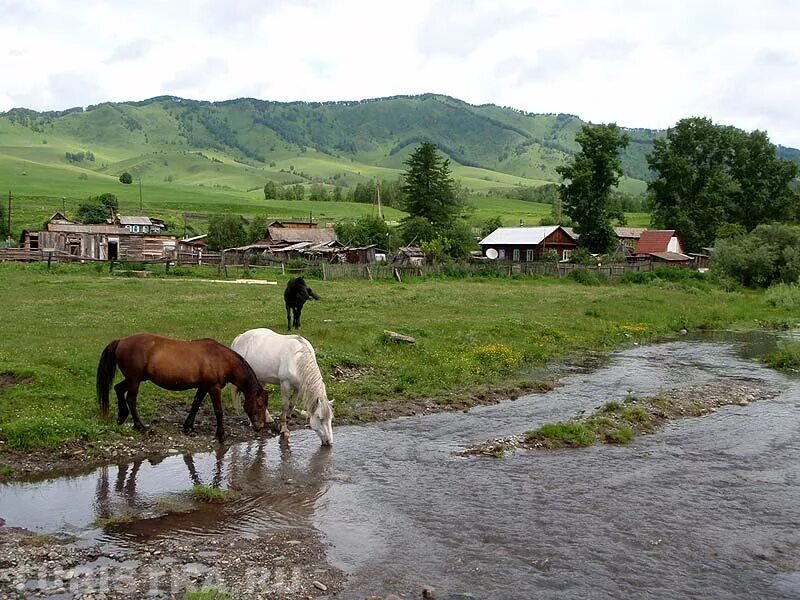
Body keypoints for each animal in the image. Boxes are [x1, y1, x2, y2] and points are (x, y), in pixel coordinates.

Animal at [95, 336, 272, 442]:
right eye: (259, 405)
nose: (260, 426)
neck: (220, 359)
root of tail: (121, 341)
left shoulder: (203, 387)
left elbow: (195, 405)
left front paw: (188, 427)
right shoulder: (213, 388)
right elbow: (218, 411)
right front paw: (220, 434)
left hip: (135, 379)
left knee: (118, 389)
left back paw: (122, 416)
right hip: (135, 380)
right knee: (130, 400)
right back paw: (140, 426)